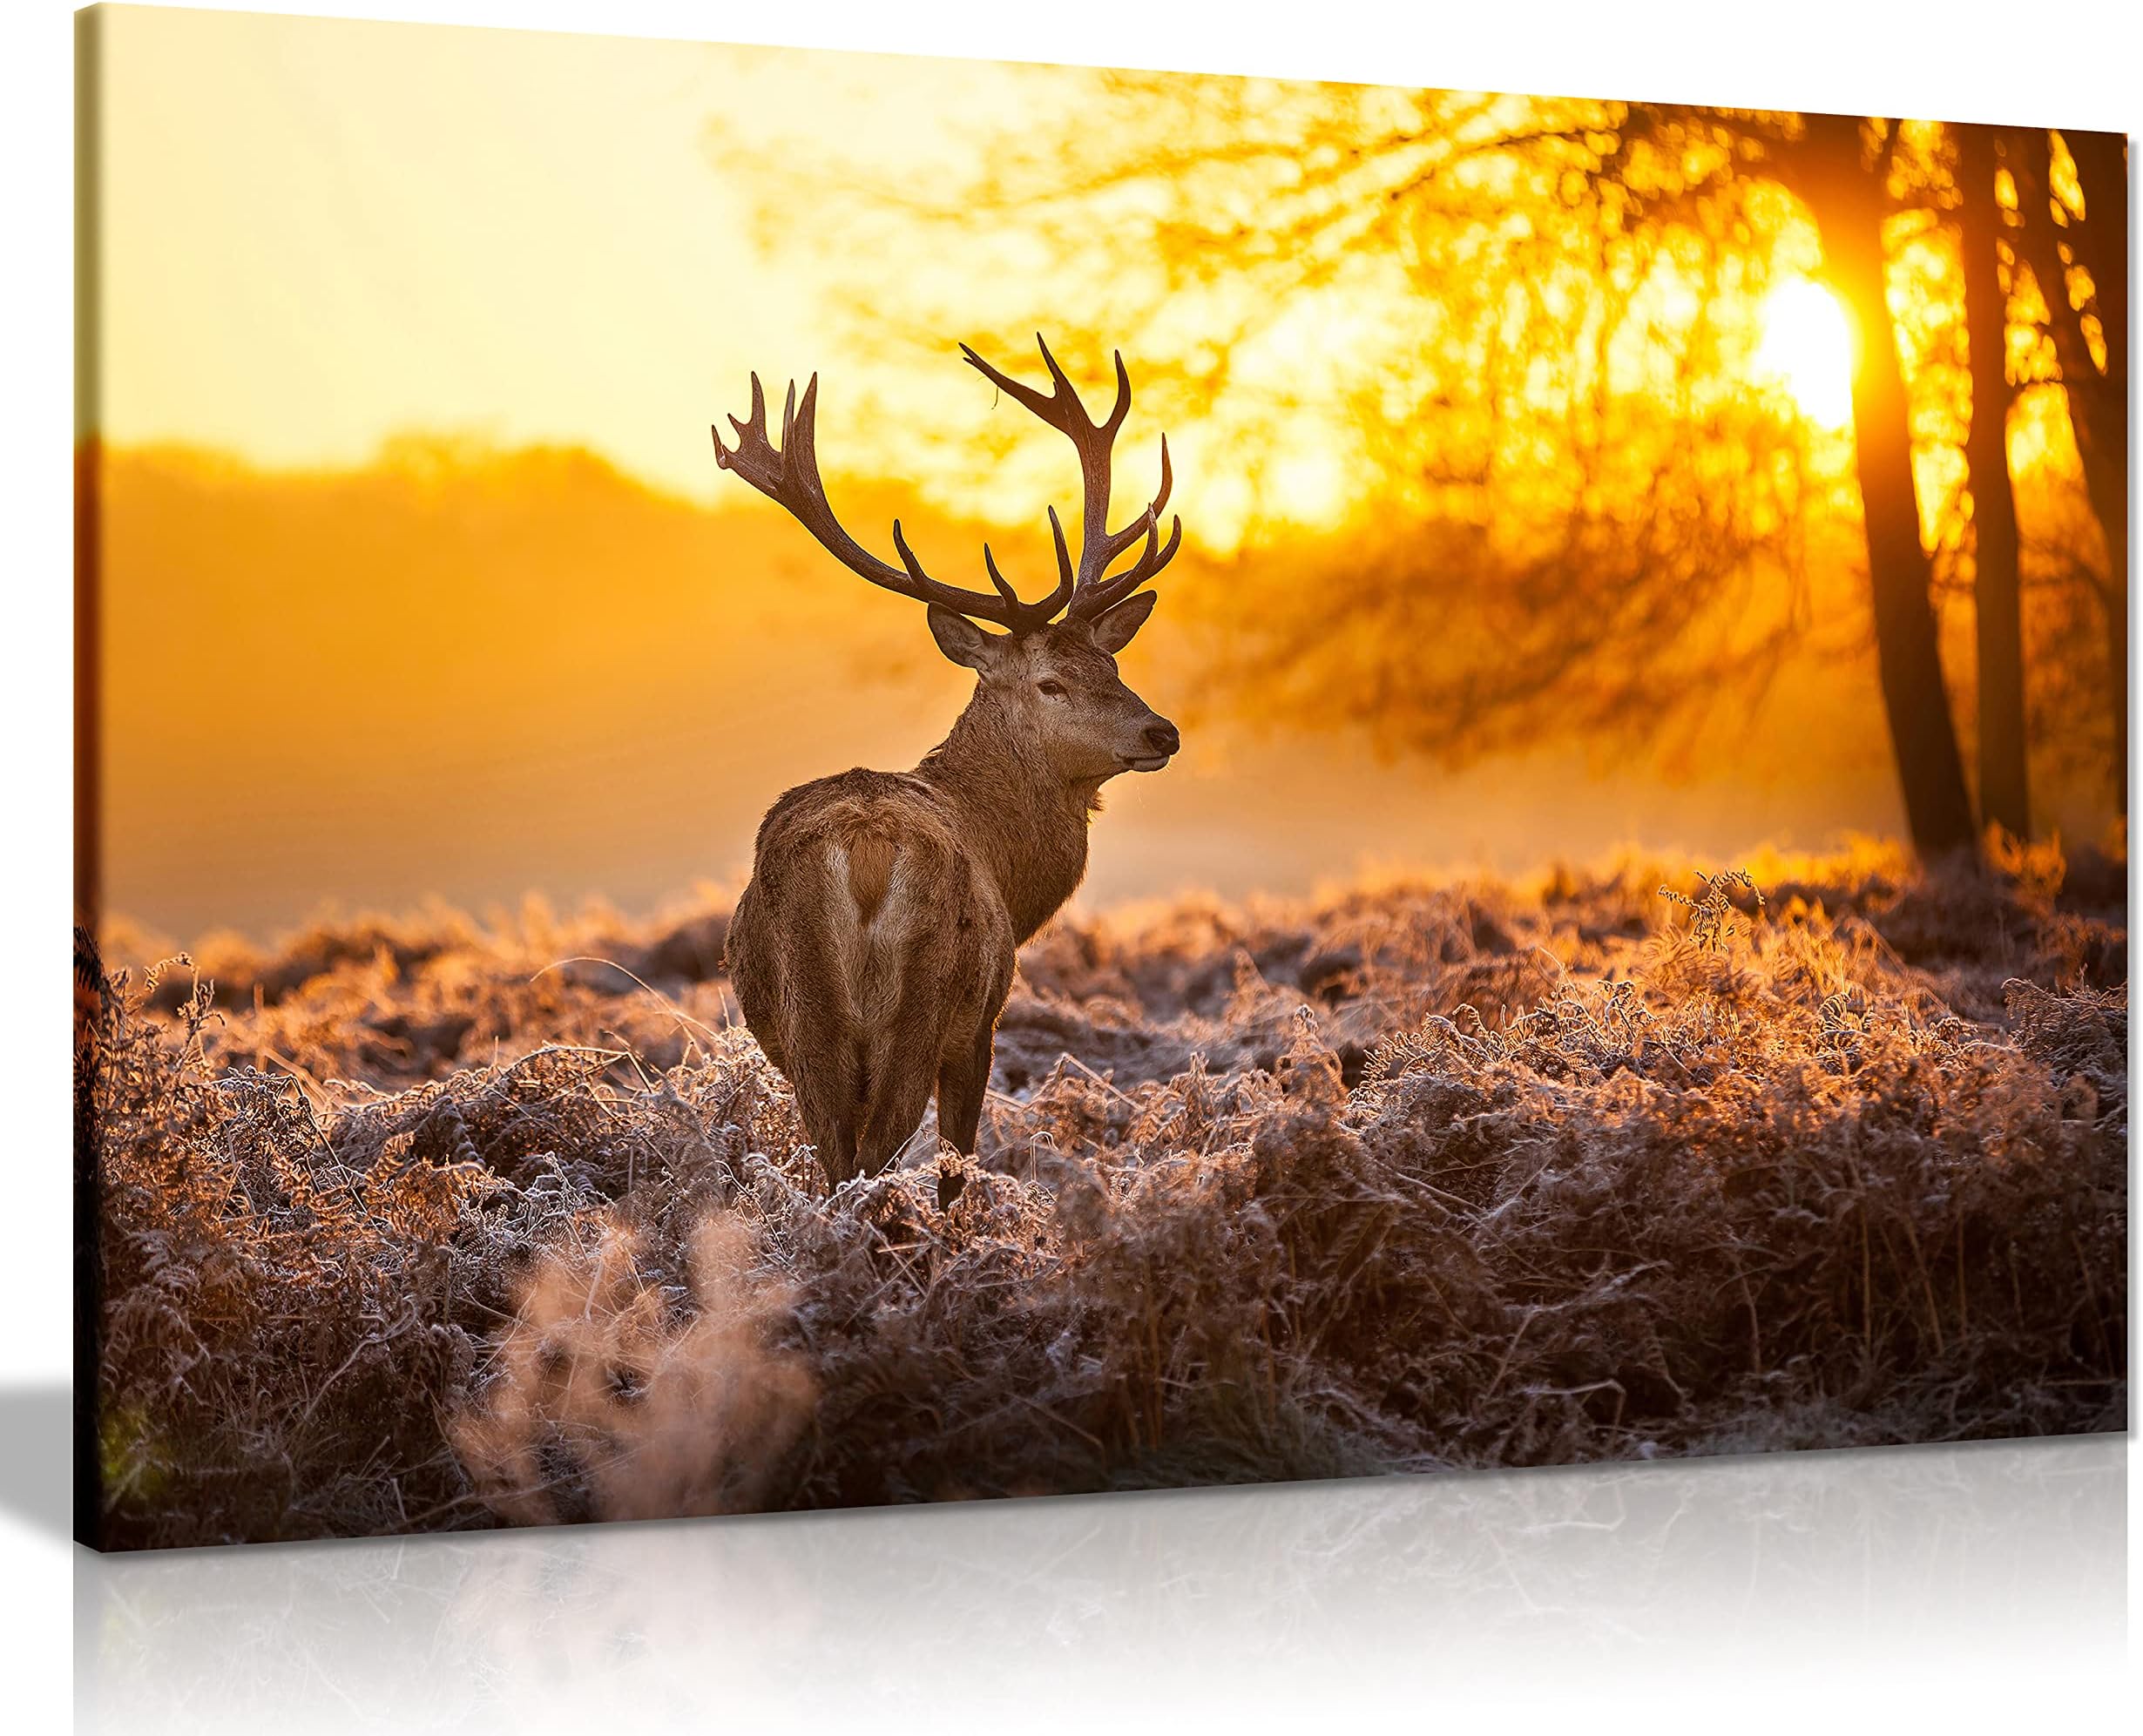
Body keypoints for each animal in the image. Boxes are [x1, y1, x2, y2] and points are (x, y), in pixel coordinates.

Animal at [711, 337, 1182, 1206]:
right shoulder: (984, 1020)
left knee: (836, 1156)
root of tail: (865, 852)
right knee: (878, 1152)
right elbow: (958, 1161)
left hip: (806, 1015)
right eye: (1051, 682)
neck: (1010, 868)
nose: (1160, 730)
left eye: (1111, 662)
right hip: (924, 1001)